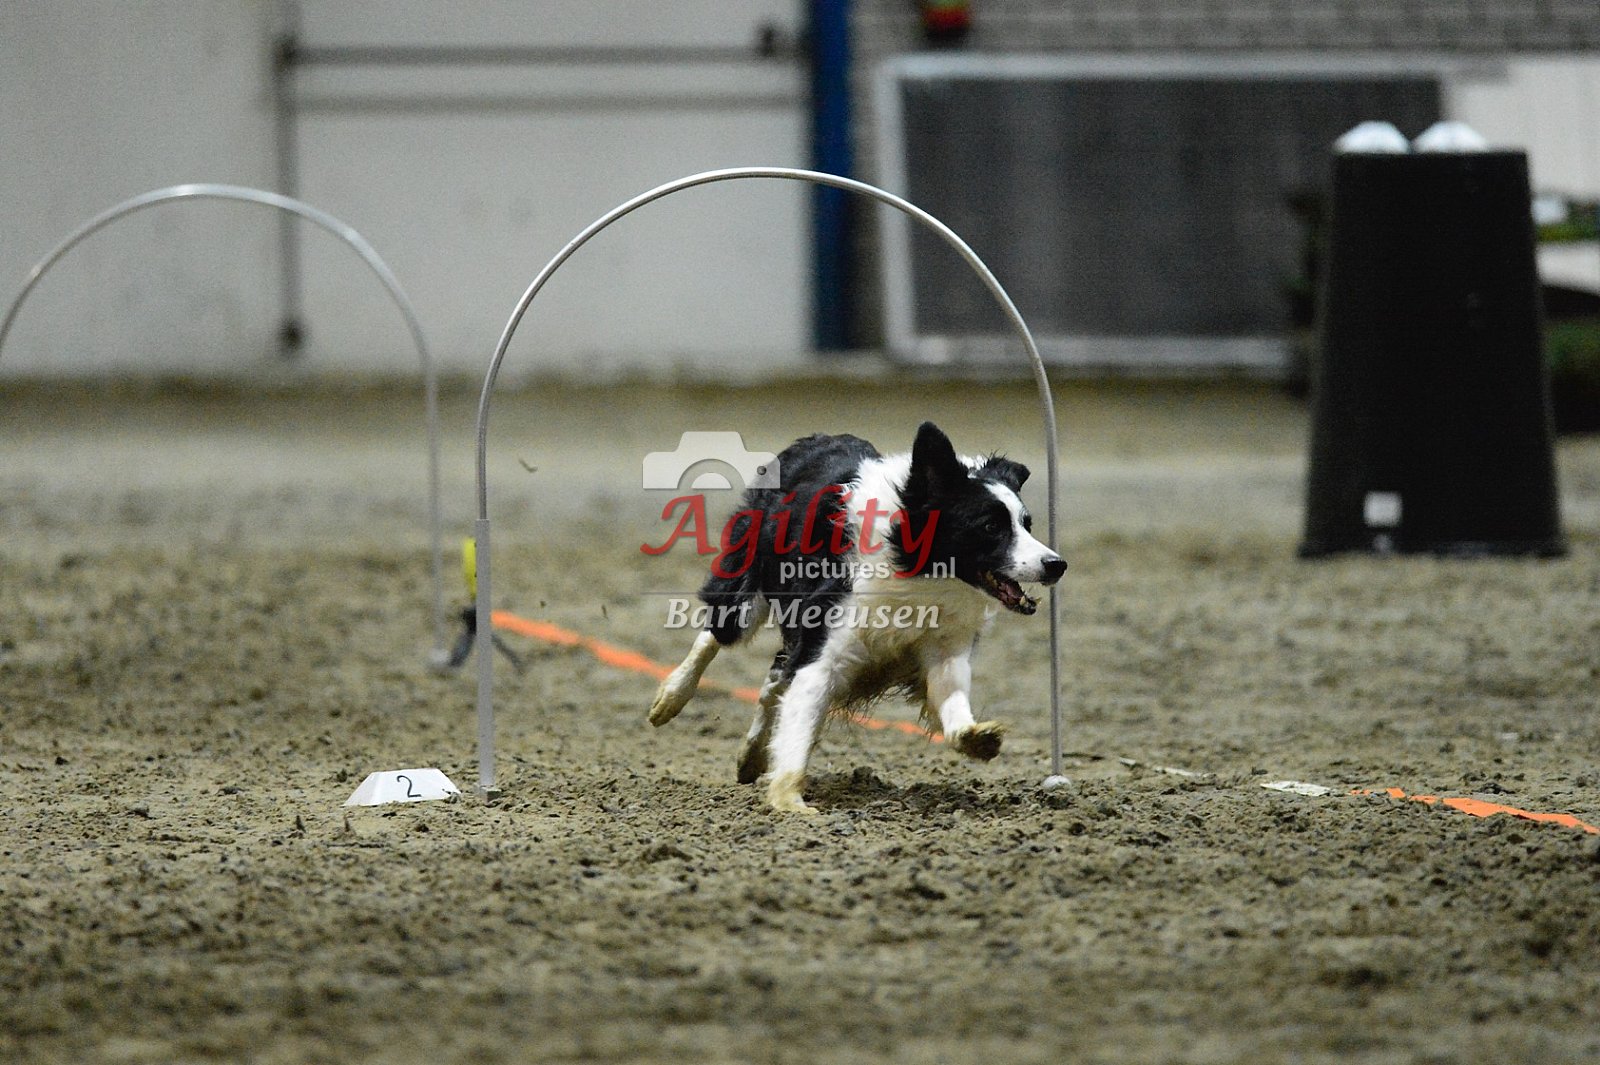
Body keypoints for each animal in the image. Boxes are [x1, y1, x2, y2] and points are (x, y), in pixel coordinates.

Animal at [648, 421, 1067, 814]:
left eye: (1027, 523)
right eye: (990, 526)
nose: (1056, 564)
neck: (919, 571)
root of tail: (816, 438)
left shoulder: (942, 644)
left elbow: (951, 696)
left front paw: (976, 738)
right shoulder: (824, 643)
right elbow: (801, 715)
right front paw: (789, 800)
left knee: (774, 680)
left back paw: (751, 757)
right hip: (744, 591)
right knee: (717, 633)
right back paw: (670, 697)